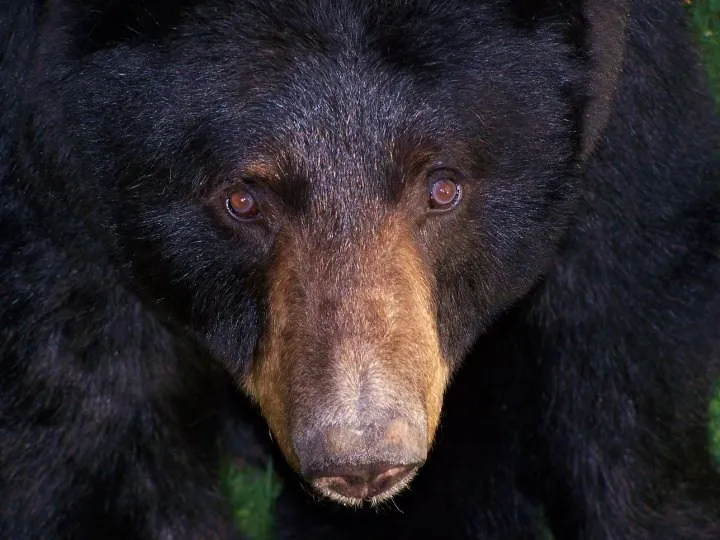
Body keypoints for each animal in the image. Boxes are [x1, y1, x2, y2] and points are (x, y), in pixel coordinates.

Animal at [1, 0, 720, 536]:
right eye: (242, 200)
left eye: (443, 187)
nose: (363, 459)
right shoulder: (57, 195)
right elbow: (90, 421)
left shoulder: (624, 124)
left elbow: (620, 336)